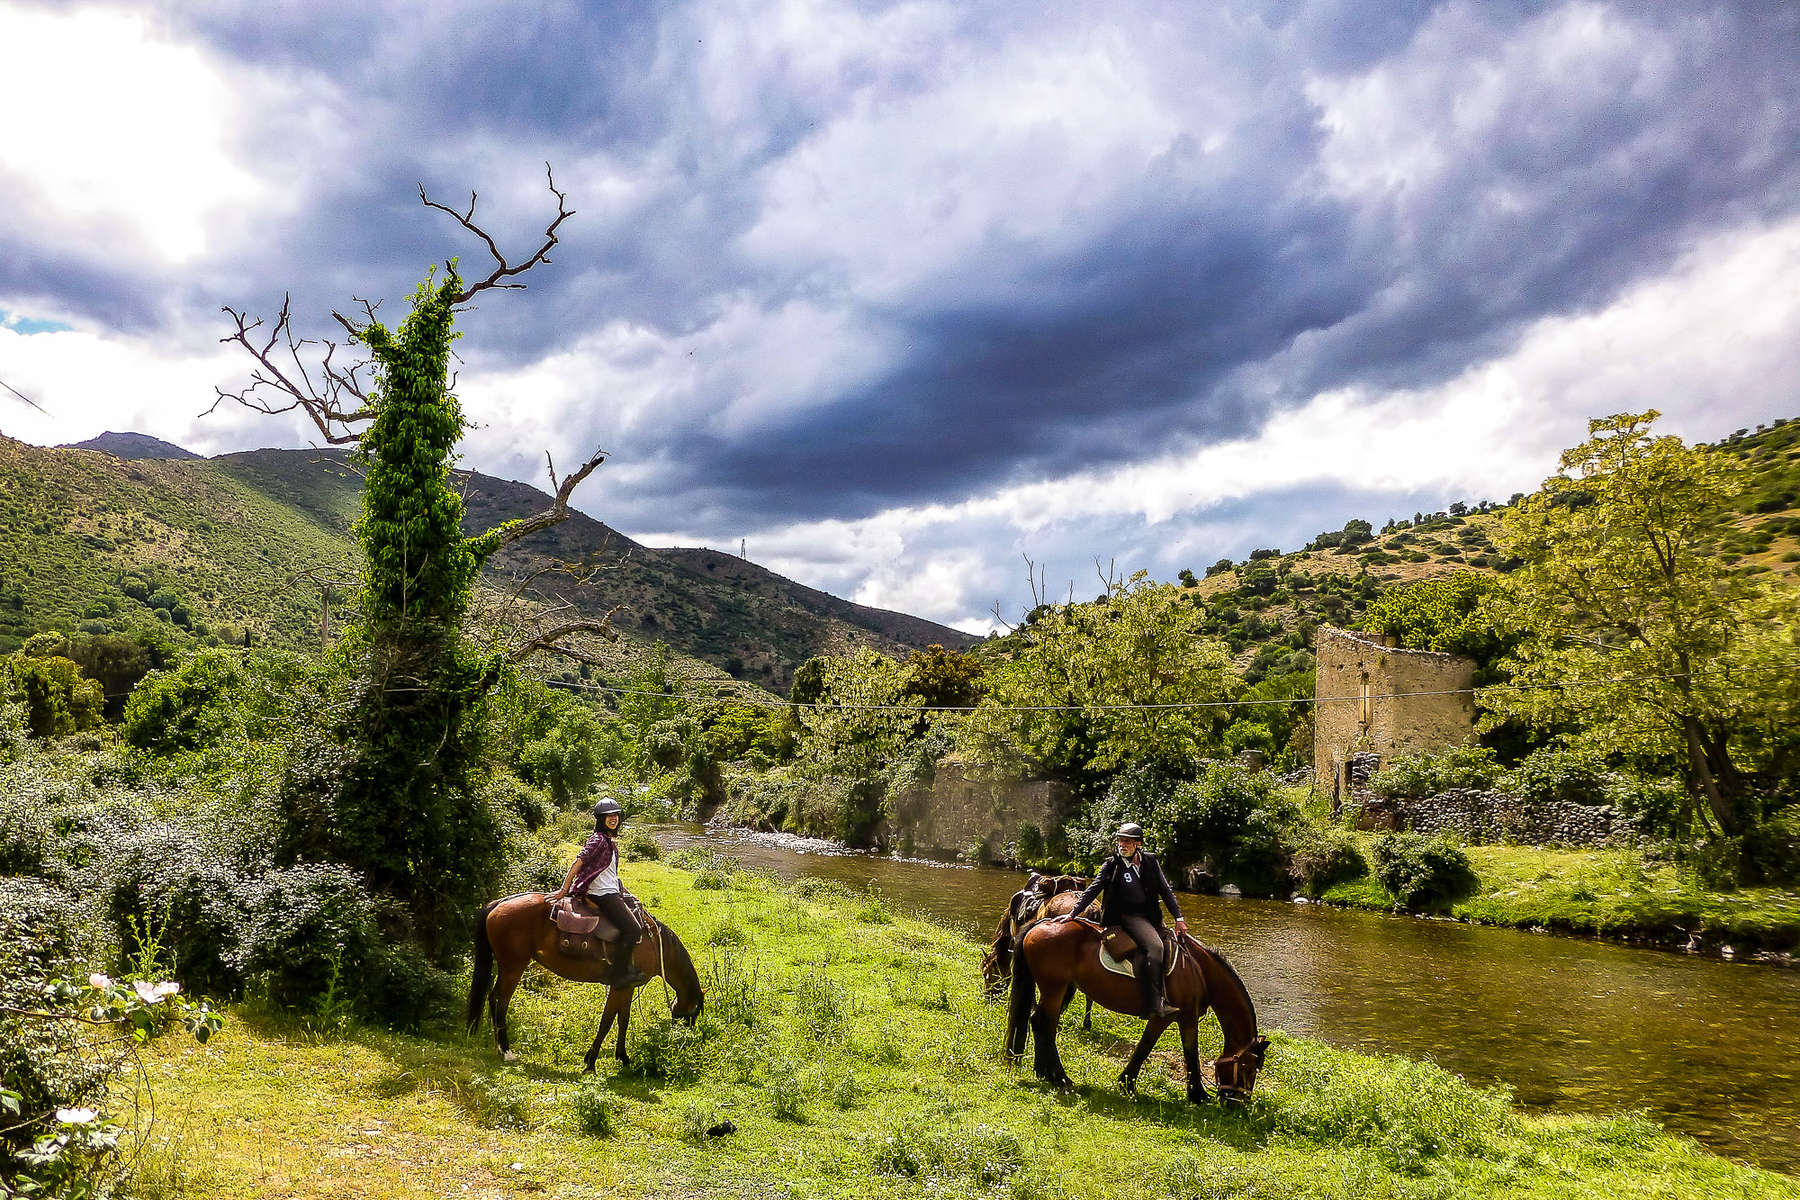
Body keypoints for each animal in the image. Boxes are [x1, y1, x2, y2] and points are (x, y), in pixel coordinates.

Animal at [464, 892, 702, 1072]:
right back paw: (505, 1051)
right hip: (513, 967)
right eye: (694, 1014)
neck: (655, 943)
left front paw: (622, 1057)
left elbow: (623, 1020)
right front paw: (591, 1062)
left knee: (493, 998)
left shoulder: (627, 988)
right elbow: (607, 1021)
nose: (685, 1039)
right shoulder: (620, 986)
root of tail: (498, 904)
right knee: (500, 1001)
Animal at [1008, 921, 1274, 1108]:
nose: (1237, 1103)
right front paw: (1196, 1094)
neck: (1199, 970)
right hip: (1055, 988)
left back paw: (1044, 1072)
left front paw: (1129, 1083)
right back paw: (1060, 1077)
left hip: (1059, 989)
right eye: (1249, 1068)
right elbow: (1173, 1050)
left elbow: (1162, 1049)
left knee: (1039, 1023)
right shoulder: (1173, 1017)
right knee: (1044, 1024)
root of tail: (1040, 925)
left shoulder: (1177, 1018)